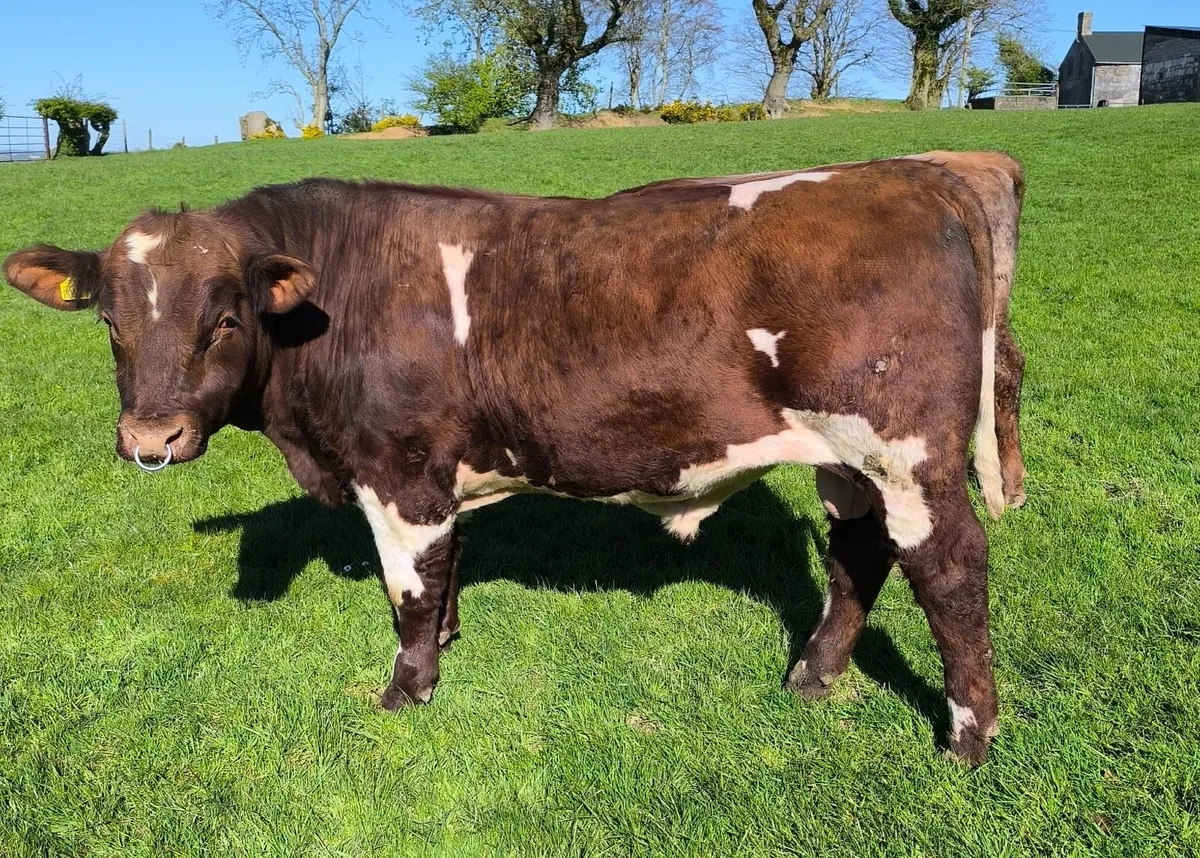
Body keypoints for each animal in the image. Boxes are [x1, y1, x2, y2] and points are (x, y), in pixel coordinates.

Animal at [4, 158, 1005, 763]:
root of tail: (912, 172)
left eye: (223, 318)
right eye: (109, 322)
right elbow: (446, 569)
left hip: (908, 451)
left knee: (951, 571)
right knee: (858, 555)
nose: (152, 441)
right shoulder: (439, 476)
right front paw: (445, 643)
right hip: (850, 462)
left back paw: (967, 735)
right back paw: (814, 675)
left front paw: (407, 689)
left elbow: (407, 586)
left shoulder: (399, 471)